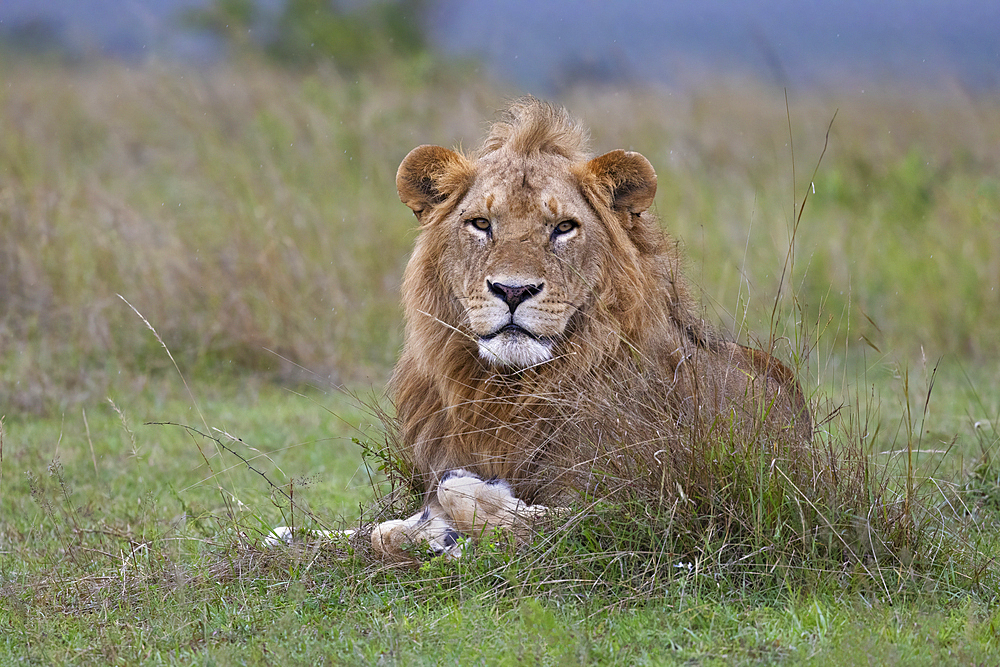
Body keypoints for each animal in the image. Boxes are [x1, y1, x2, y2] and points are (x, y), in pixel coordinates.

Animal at [368, 96, 812, 560]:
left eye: (564, 227)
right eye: (481, 223)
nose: (512, 290)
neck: (505, 393)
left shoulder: (641, 508)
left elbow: (486, 505)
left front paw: (462, 513)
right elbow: (380, 535)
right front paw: (431, 529)